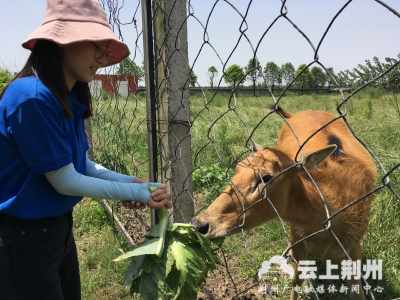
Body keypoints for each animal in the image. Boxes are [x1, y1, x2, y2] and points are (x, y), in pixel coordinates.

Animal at [192, 106, 376, 298]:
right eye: (238, 167)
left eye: (266, 177)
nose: (200, 224)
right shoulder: (297, 237)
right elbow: (297, 280)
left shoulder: (354, 246)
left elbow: (357, 291)